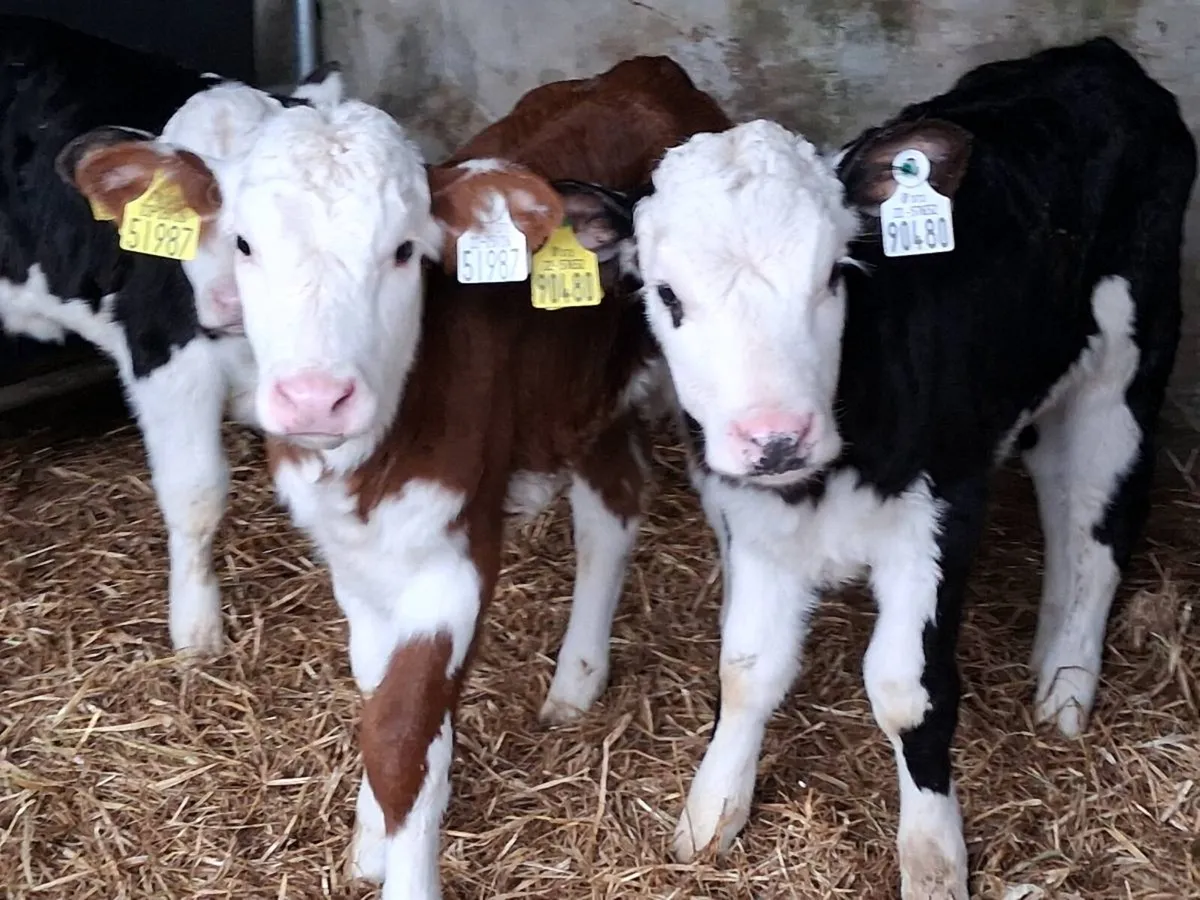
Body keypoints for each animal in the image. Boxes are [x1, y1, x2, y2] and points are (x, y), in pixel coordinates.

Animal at [62, 56, 731, 898]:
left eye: (406, 250)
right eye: (243, 242)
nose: (314, 396)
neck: (368, 459)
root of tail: (645, 71)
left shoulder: (457, 552)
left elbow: (399, 729)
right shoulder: (350, 553)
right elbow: (383, 693)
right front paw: (374, 839)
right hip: (578, 398)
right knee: (610, 507)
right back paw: (577, 680)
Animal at [560, 37, 1197, 899]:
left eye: (834, 274)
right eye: (666, 294)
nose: (775, 437)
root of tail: (1097, 55)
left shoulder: (941, 510)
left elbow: (905, 692)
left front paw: (933, 857)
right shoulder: (754, 522)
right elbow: (745, 666)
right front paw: (711, 811)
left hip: (1125, 368)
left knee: (1100, 524)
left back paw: (1068, 684)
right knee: (1063, 508)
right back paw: (1047, 652)